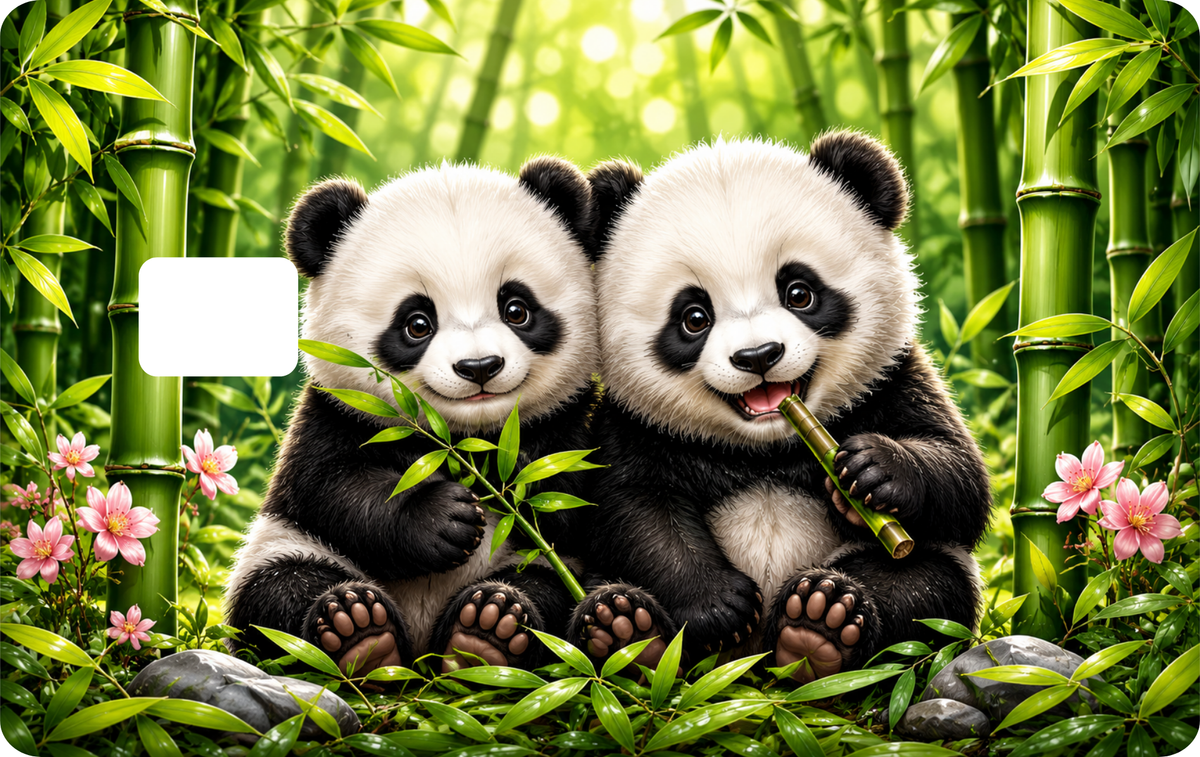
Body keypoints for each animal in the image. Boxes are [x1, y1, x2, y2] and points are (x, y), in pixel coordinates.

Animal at [224, 158, 600, 675]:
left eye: (516, 309)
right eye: (417, 323)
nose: (479, 367)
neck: (462, 438)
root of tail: (419, 653)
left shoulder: (575, 419)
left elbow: (568, 500)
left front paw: (515, 483)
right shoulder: (337, 413)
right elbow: (331, 488)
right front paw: (445, 517)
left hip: (547, 570)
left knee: (545, 593)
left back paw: (488, 629)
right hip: (283, 546)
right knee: (276, 591)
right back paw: (358, 630)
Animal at [567, 132, 991, 682]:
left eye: (799, 292)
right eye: (694, 317)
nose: (758, 356)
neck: (766, 449)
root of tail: (754, 667)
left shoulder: (894, 379)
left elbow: (960, 477)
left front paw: (874, 471)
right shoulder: (634, 424)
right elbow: (631, 508)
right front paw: (719, 606)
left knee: (925, 587)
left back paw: (820, 623)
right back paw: (626, 634)